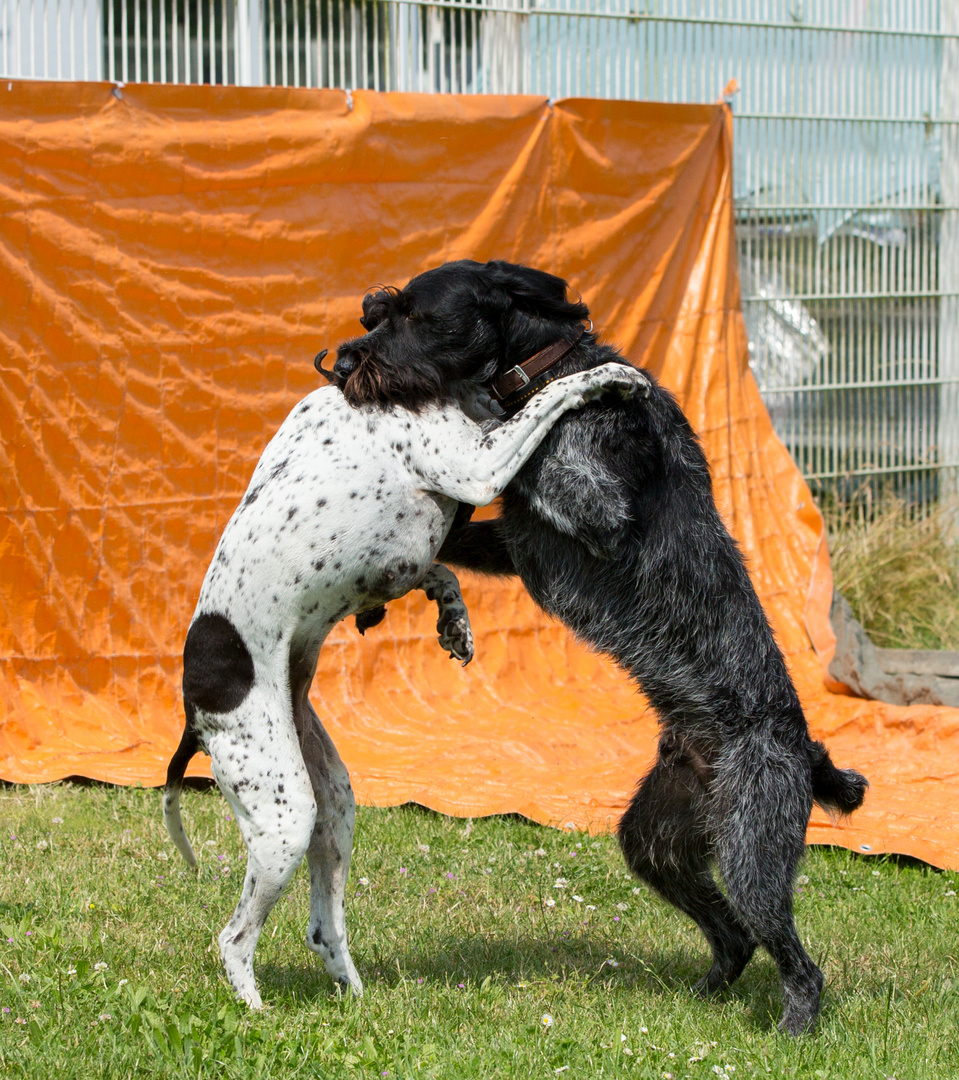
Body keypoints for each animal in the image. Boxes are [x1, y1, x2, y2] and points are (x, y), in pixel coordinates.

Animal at [163, 347, 652, 1010]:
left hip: (332, 805)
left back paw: (355, 998)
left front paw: (455, 619)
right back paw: (257, 1009)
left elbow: (437, 571)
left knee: (322, 928)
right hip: (283, 818)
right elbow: (555, 395)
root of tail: (195, 716)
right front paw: (611, 377)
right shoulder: (478, 467)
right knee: (234, 937)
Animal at [334, 257, 868, 1032]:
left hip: (752, 849)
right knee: (734, 937)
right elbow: (459, 527)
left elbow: (523, 448)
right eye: (381, 311)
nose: (345, 361)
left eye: (413, 314)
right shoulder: (515, 539)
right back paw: (705, 994)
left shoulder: (592, 505)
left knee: (799, 963)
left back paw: (793, 1030)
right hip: (657, 841)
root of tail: (805, 749)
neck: (543, 358)